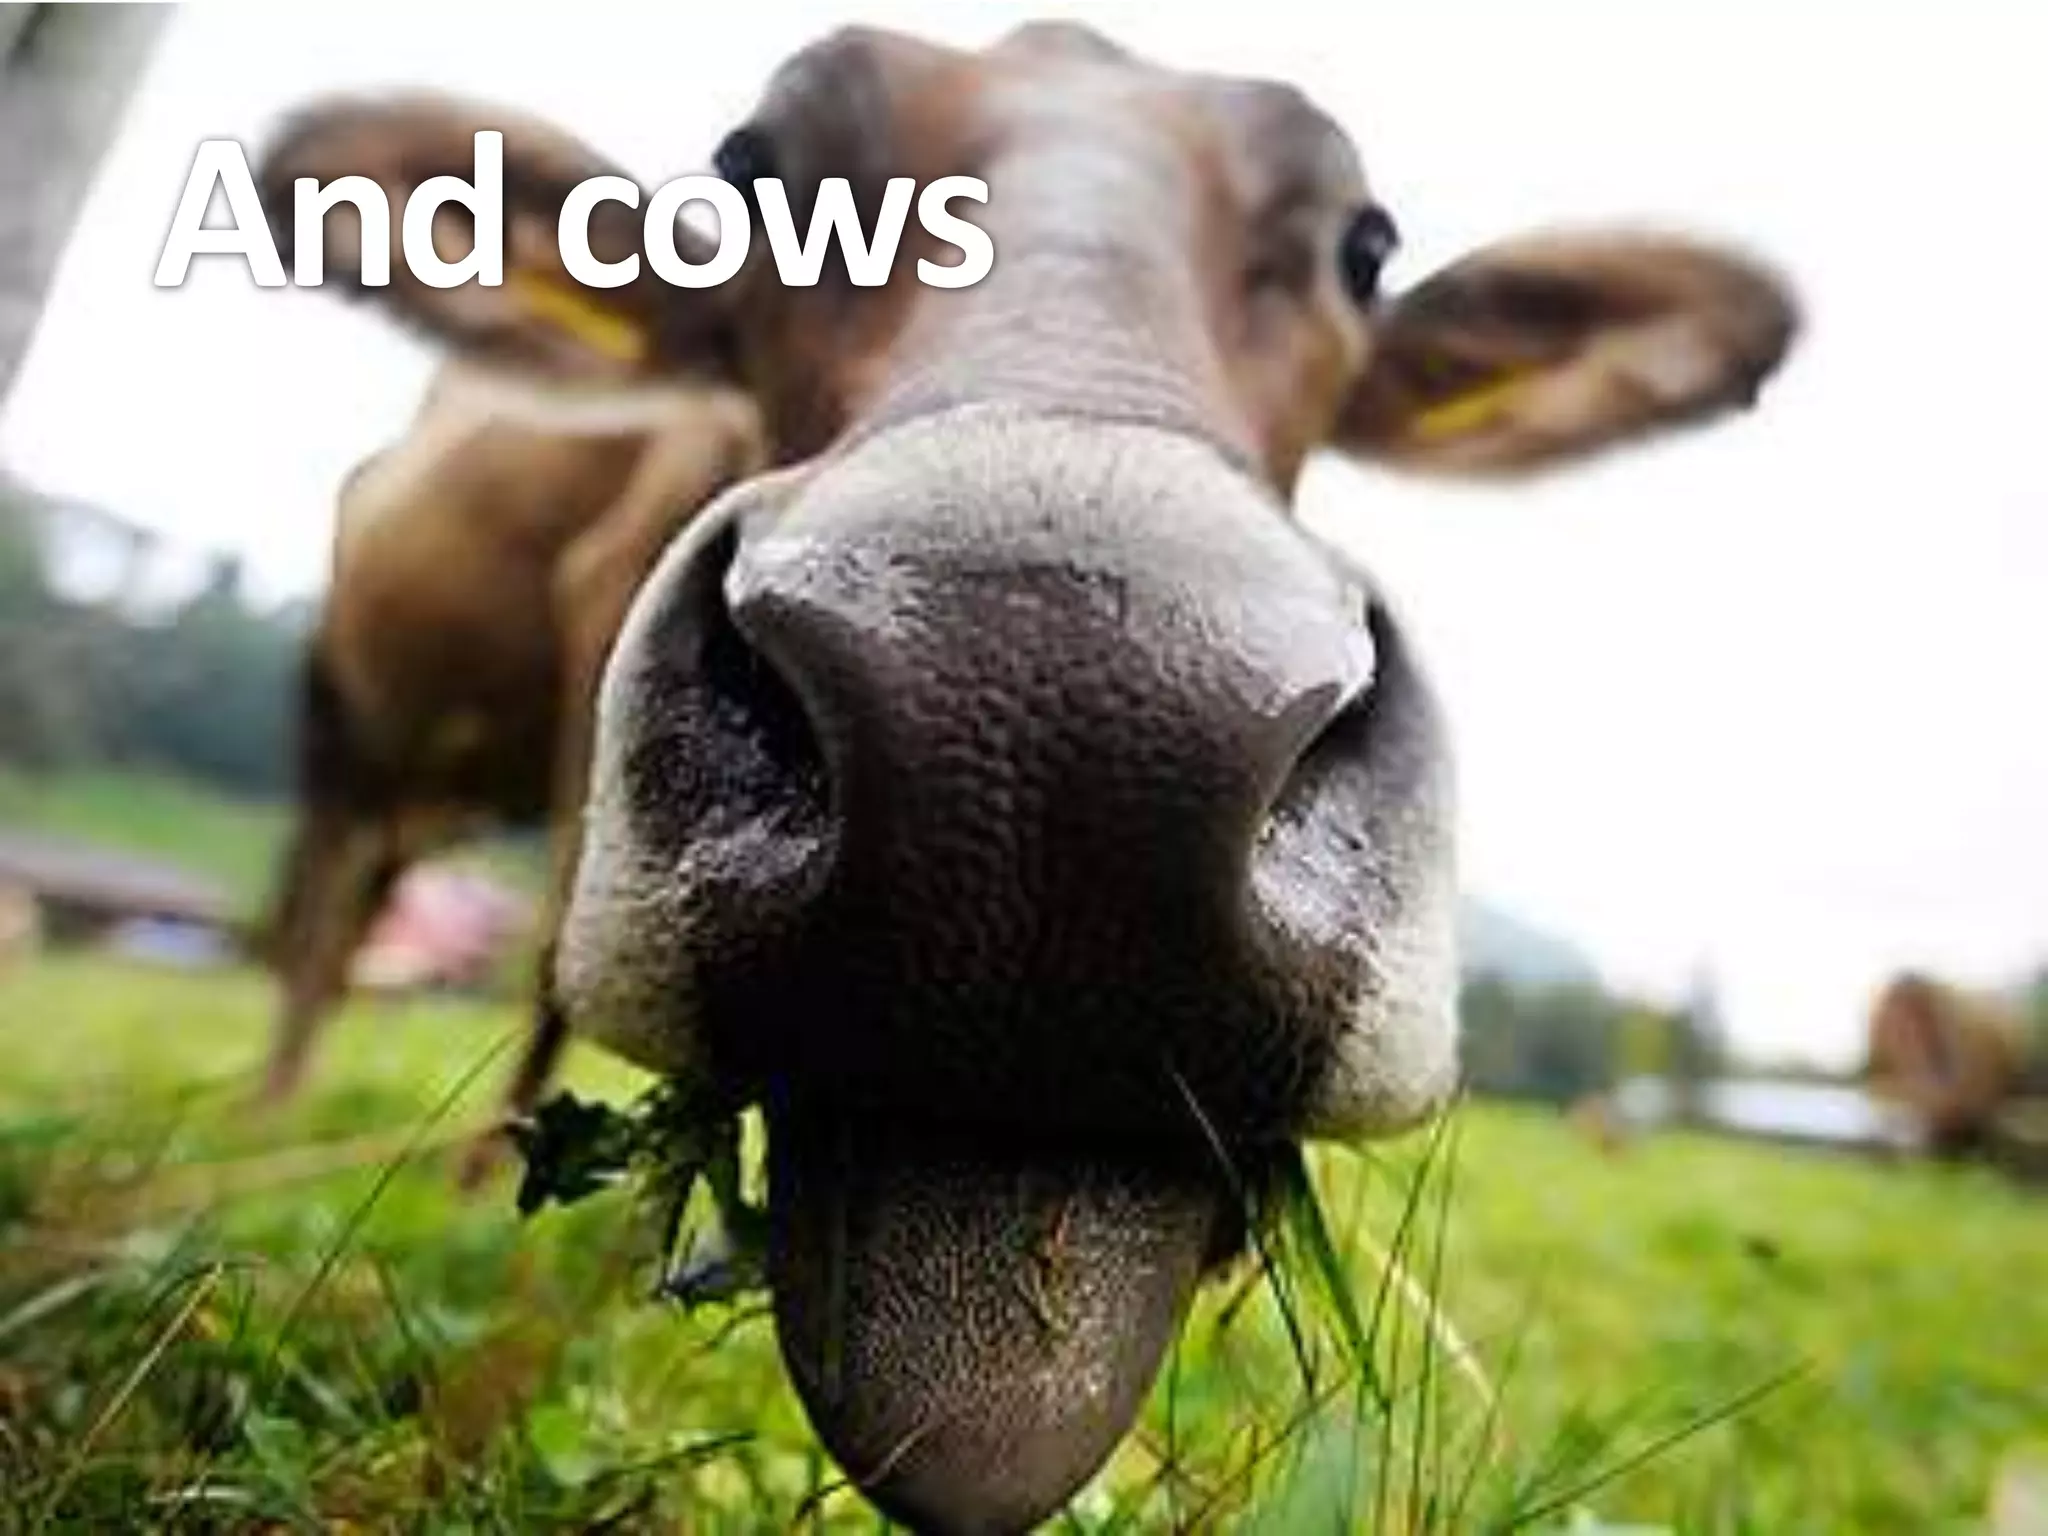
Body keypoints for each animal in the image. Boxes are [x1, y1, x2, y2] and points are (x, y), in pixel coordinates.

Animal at [253, 21, 1800, 1532]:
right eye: (751, 172)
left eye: (1364, 248)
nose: (1071, 748)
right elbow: (544, 980)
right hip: (338, 714)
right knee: (326, 915)